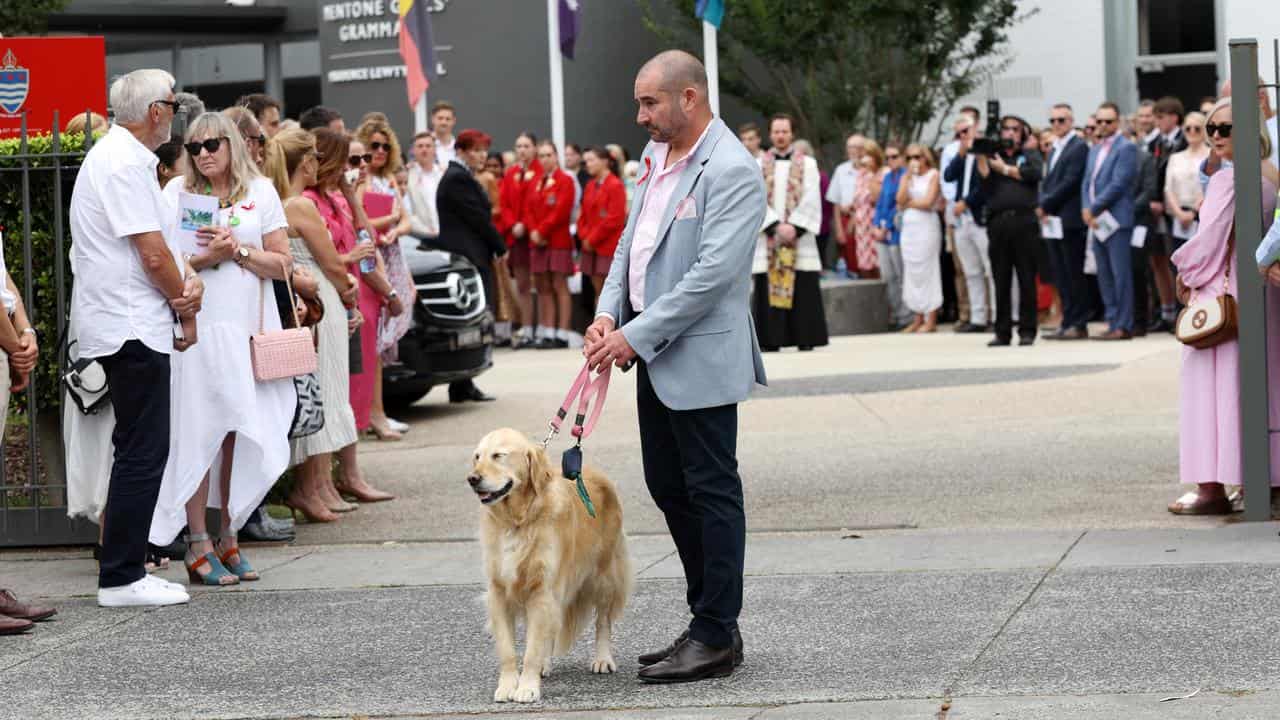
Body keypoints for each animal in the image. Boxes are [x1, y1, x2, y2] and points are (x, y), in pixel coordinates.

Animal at [468, 425, 632, 702]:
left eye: (498, 455)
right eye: (477, 457)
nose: (472, 479)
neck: (517, 521)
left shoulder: (542, 590)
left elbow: (532, 648)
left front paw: (526, 688)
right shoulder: (500, 592)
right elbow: (509, 650)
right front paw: (508, 685)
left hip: (603, 576)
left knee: (603, 622)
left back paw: (602, 659)